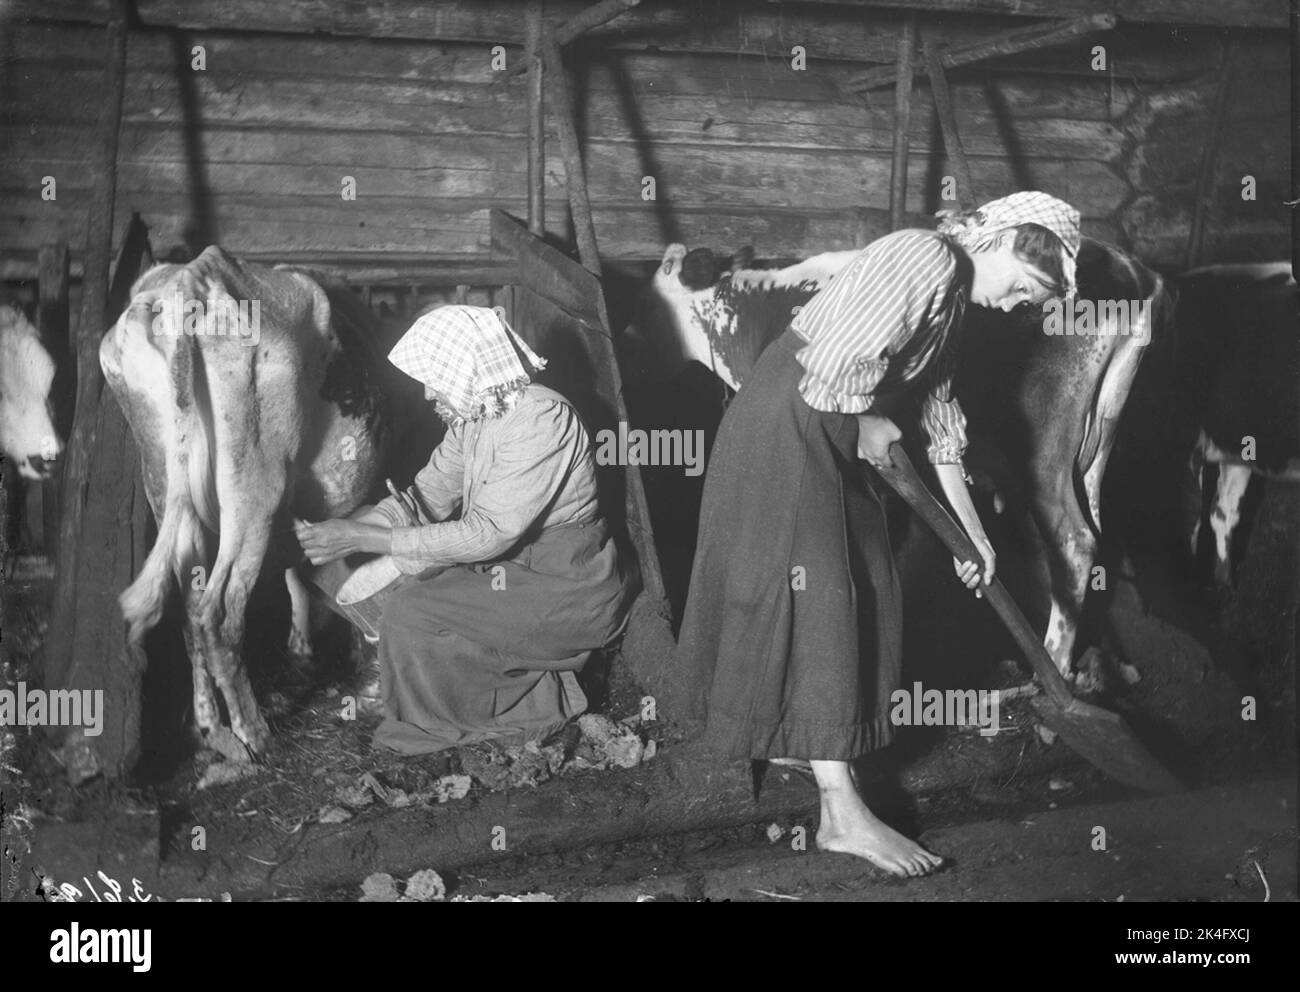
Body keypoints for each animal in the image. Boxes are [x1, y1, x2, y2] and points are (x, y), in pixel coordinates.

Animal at [101, 247, 397, 754]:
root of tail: (191, 277)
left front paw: (303, 645)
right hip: (253, 489)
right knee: (218, 614)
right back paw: (255, 734)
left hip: (163, 478)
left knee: (189, 610)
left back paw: (211, 728)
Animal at [634, 235, 1175, 681]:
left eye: (641, 309)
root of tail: (1134, 270)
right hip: (1095, 449)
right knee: (1096, 532)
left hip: (1043, 448)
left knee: (1074, 540)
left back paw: (1054, 669)